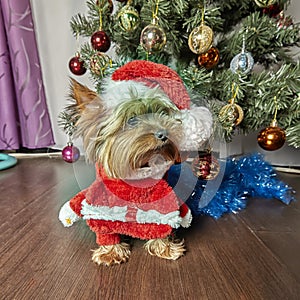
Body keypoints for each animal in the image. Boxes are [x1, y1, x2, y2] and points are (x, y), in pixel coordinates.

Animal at [59, 59, 213, 266]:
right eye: (132, 120)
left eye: (162, 113)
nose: (164, 133)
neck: (136, 178)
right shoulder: (100, 207)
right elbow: (105, 231)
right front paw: (110, 252)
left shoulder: (162, 204)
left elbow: (162, 225)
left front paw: (165, 247)